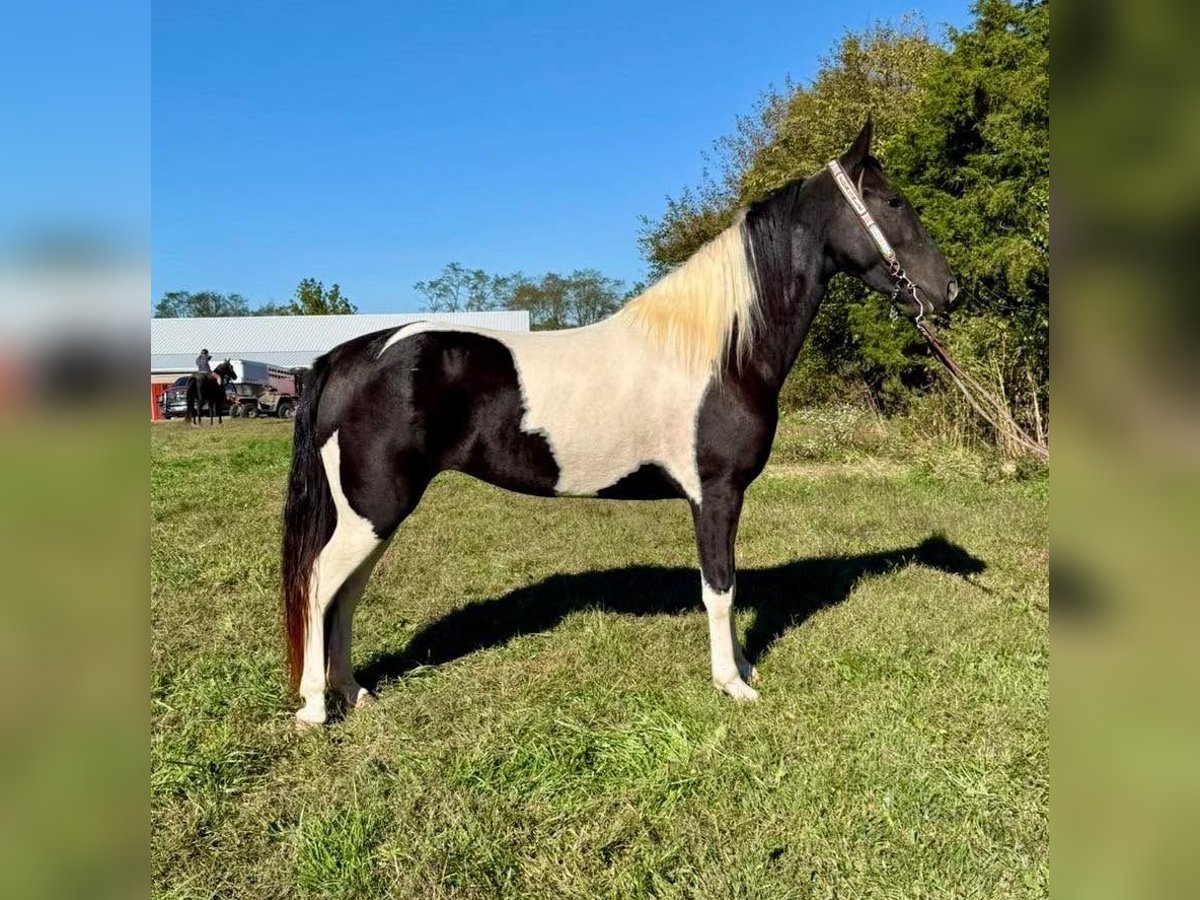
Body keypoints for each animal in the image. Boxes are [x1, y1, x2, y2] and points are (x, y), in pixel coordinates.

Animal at [282, 120, 959, 726]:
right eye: (893, 201)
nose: (948, 291)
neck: (720, 350)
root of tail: (349, 354)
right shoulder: (716, 494)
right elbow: (720, 588)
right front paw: (733, 684)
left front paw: (743, 667)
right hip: (374, 510)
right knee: (318, 584)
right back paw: (314, 708)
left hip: (372, 515)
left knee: (344, 593)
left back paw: (354, 693)